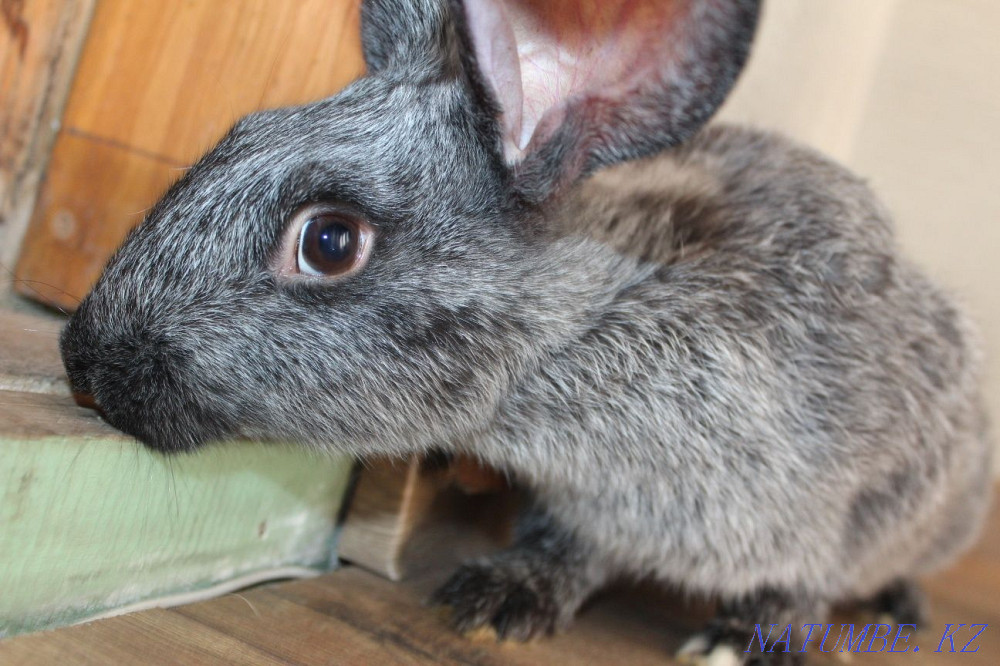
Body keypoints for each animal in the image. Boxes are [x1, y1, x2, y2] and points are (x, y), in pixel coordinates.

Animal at [59, 0, 992, 663]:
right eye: (236, 133)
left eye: (328, 241)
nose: (84, 361)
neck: (586, 322)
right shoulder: (582, 504)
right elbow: (569, 549)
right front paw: (501, 597)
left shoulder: (860, 493)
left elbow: (809, 577)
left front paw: (748, 640)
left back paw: (902, 606)